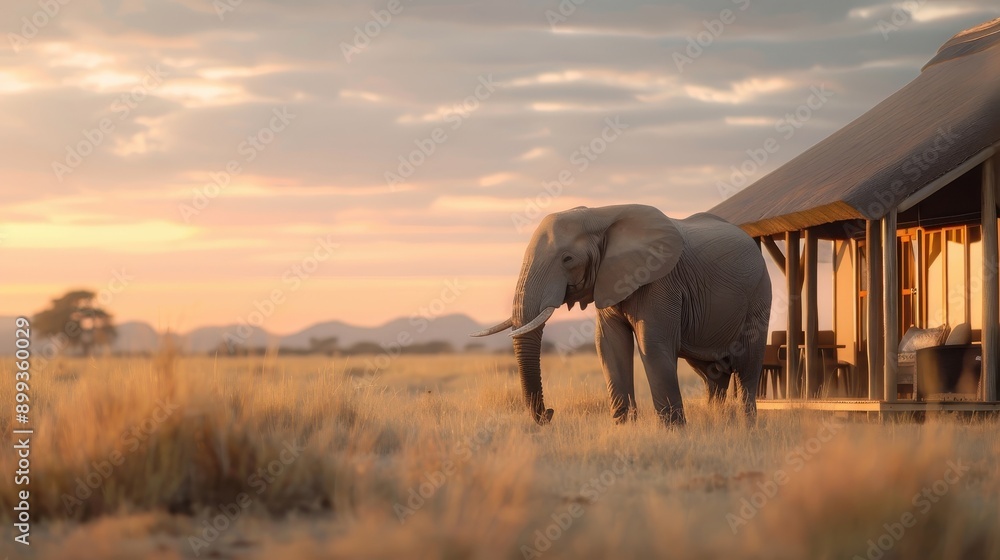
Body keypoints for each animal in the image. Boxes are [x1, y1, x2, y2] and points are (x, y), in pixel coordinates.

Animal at [471, 204, 771, 426]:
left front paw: (674, 432)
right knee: (712, 374)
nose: (549, 413)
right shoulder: (609, 279)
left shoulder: (660, 281)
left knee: (746, 365)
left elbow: (653, 345)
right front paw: (625, 427)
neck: (602, 216)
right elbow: (609, 345)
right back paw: (717, 422)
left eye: (568, 259)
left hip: (758, 293)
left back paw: (746, 427)